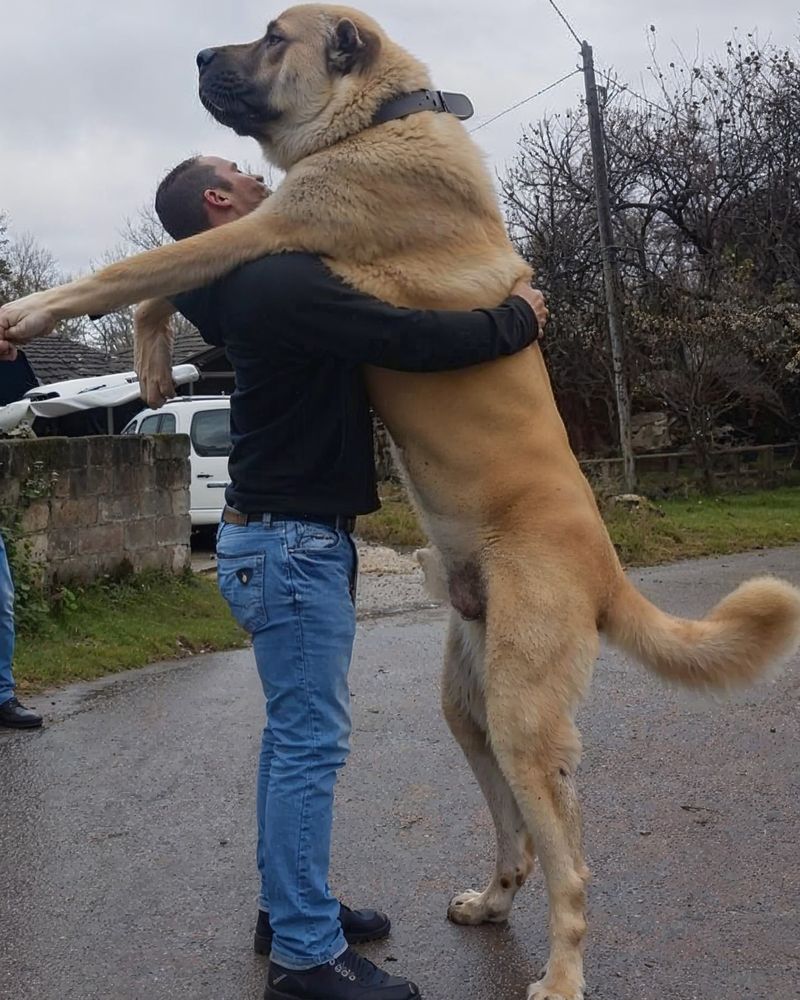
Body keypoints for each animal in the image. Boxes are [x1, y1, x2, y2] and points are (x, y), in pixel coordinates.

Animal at [1, 9, 800, 1000]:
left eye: (273, 37)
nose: (197, 54)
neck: (385, 115)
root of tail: (610, 571)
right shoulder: (277, 228)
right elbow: (161, 278)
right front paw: (147, 357)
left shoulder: (285, 224)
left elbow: (139, 265)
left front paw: (29, 313)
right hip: (472, 706)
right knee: (517, 833)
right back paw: (492, 901)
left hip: (526, 716)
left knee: (573, 867)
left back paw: (561, 975)